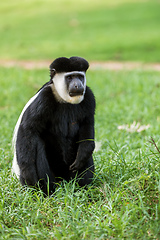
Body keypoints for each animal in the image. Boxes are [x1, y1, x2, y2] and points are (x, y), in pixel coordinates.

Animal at [12, 56, 95, 195]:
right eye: (69, 77)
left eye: (80, 76)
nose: (78, 85)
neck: (64, 99)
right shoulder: (44, 98)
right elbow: (28, 129)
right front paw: (29, 174)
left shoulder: (88, 96)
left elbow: (87, 126)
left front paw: (82, 156)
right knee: (37, 143)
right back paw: (47, 191)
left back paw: (82, 188)